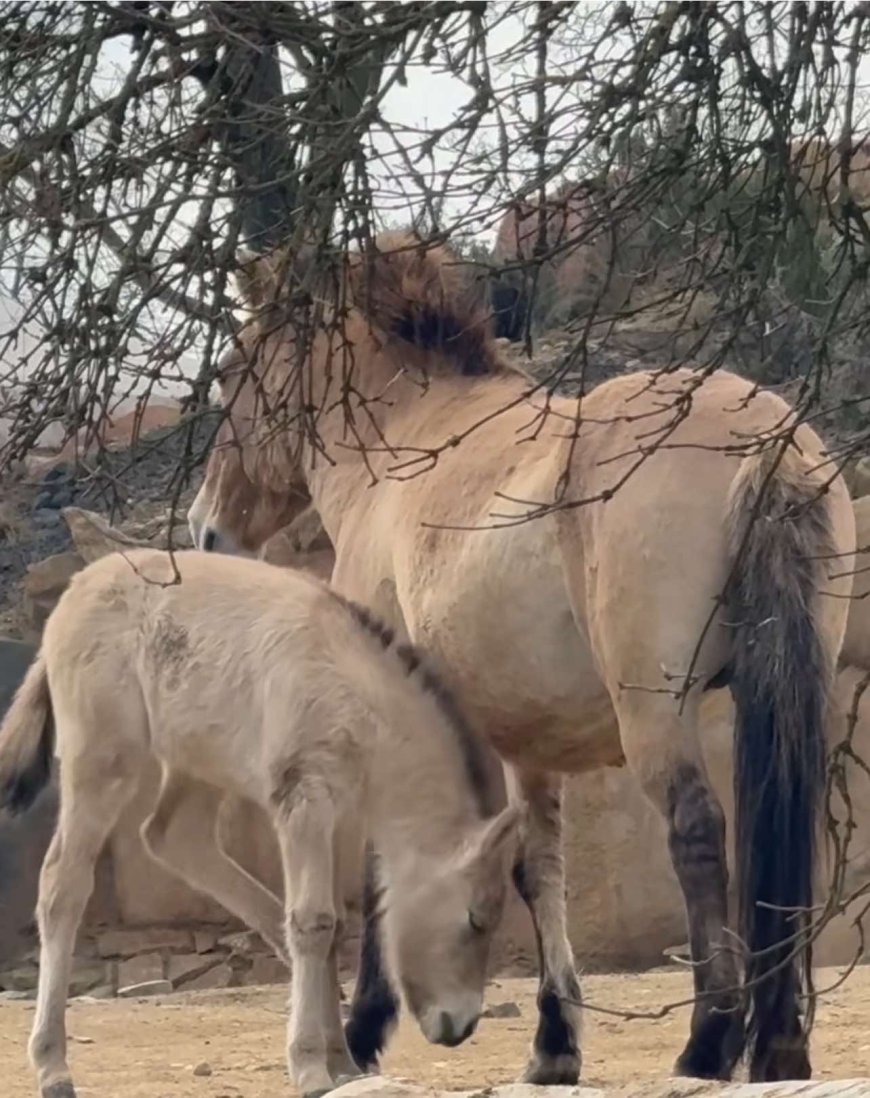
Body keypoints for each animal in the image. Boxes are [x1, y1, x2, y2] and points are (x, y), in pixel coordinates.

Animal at [0, 549, 516, 1098]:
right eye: (475, 920)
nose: (461, 1026)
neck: (356, 693)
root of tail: (74, 591)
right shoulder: (304, 798)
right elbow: (314, 921)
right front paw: (310, 1067)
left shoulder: (338, 816)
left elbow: (330, 923)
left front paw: (342, 1064)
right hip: (103, 758)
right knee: (62, 886)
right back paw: (52, 1066)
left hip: (199, 759)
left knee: (172, 836)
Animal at [185, 229, 856, 1080]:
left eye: (233, 370)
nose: (206, 528)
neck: (406, 448)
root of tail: (766, 444)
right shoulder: (531, 746)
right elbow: (540, 870)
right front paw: (554, 1045)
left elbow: (379, 865)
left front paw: (364, 1032)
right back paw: (779, 1045)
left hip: (657, 715)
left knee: (698, 832)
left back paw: (708, 1042)